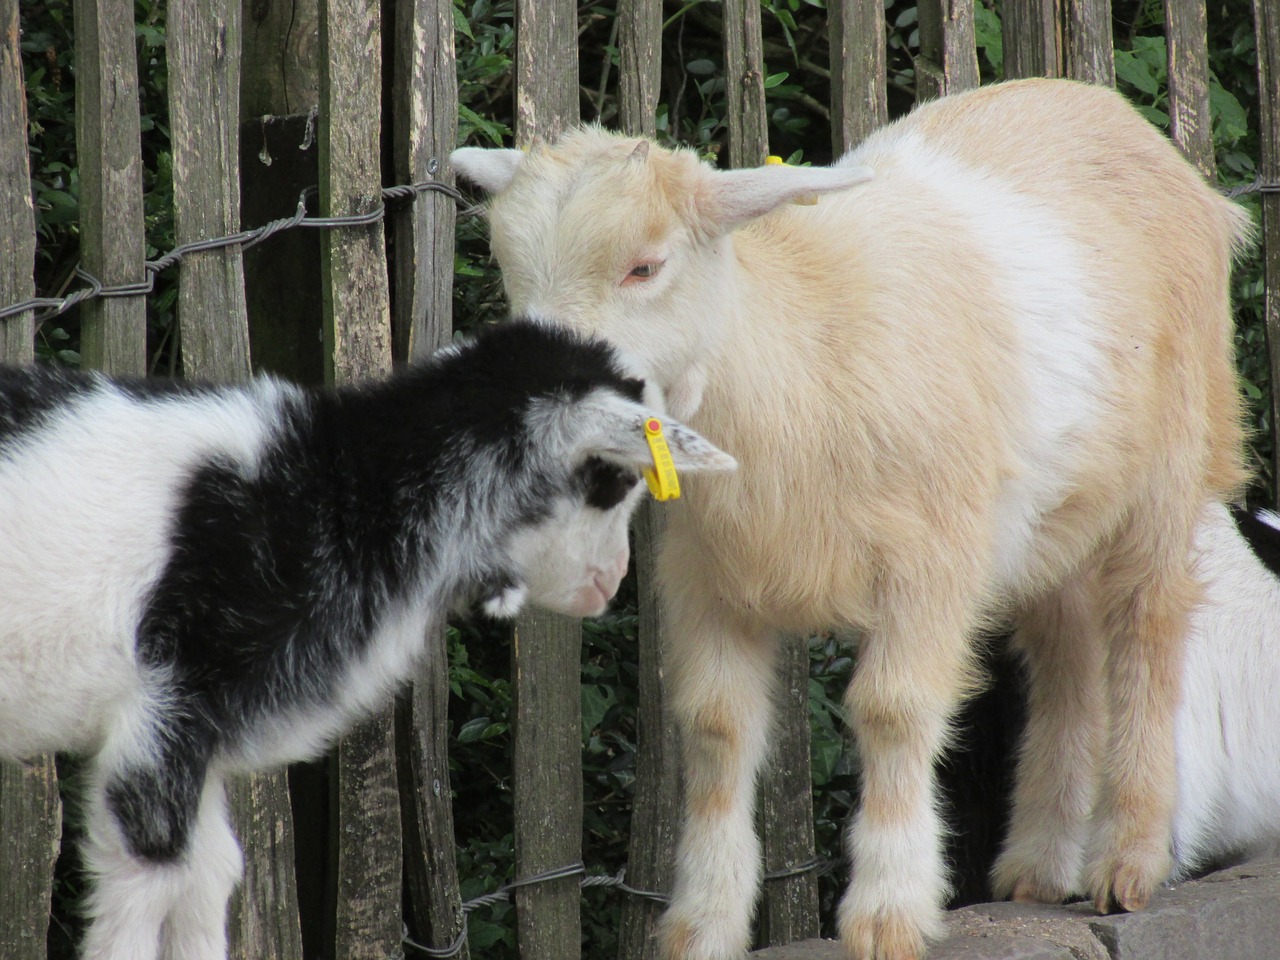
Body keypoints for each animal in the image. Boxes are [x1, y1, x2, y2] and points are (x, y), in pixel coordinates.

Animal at [0, 320, 732, 960]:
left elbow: (211, 878)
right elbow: (148, 891)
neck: (336, 496)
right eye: (616, 480)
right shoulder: (165, 713)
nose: (613, 581)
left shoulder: (200, 733)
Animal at [453, 82, 1249, 960]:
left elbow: (892, 710)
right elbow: (716, 727)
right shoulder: (707, 575)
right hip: (1056, 517)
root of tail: (1109, 109)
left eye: (644, 267)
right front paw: (703, 925)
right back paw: (1040, 867)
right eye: (509, 272)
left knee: (1147, 629)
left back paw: (1127, 860)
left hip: (1171, 461)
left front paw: (888, 914)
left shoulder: (932, 563)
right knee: (1066, 655)